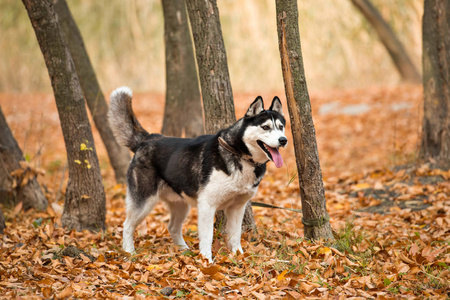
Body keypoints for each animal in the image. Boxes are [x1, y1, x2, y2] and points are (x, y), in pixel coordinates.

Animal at [107, 85, 286, 262]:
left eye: (281, 127)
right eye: (265, 127)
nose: (283, 140)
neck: (239, 154)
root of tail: (147, 139)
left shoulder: (237, 207)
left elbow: (235, 235)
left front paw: (239, 256)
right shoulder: (207, 205)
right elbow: (207, 236)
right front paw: (207, 261)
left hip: (180, 205)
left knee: (172, 227)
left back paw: (184, 250)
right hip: (144, 202)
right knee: (127, 225)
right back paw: (129, 252)